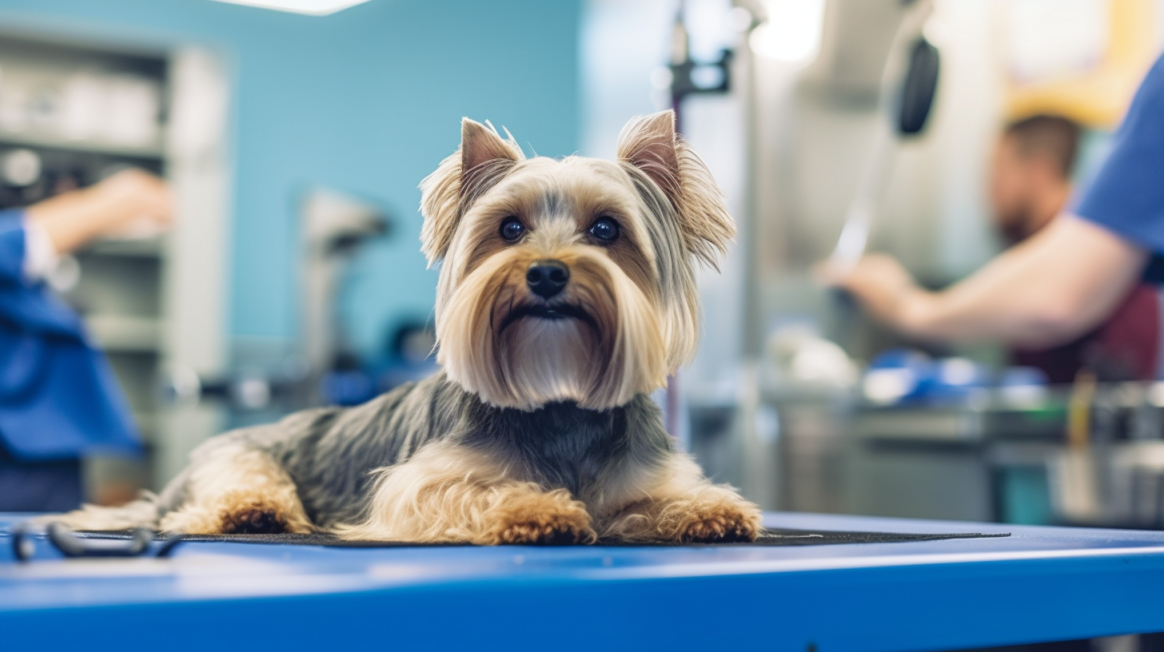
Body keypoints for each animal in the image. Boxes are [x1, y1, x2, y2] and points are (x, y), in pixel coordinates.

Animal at [52, 111, 763, 544]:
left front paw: (711, 510)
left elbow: (660, 500)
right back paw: (253, 511)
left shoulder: (641, 476)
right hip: (235, 461)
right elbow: (475, 491)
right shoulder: (418, 487)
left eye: (607, 229)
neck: (557, 397)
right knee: (224, 496)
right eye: (510, 228)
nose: (546, 273)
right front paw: (535, 508)